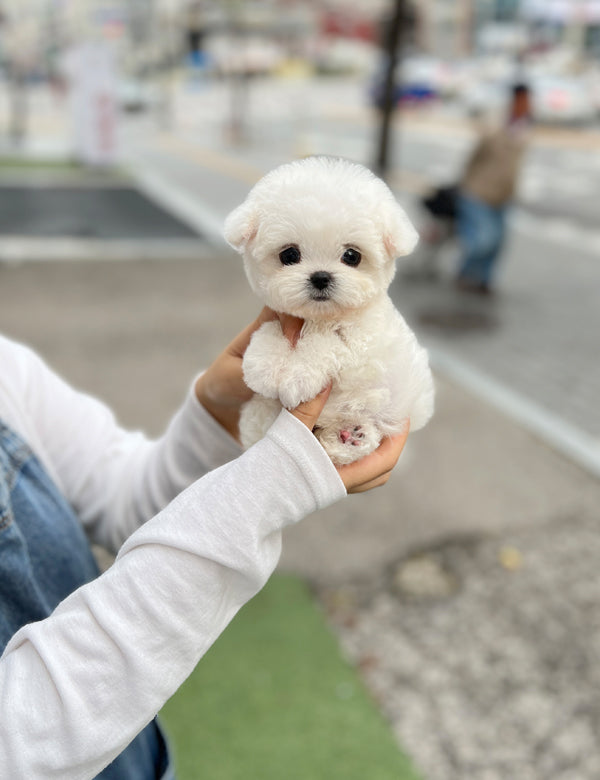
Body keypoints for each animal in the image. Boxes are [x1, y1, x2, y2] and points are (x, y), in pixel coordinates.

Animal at [225, 155, 436, 466]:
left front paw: (298, 376)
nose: (321, 277)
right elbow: (268, 331)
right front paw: (264, 367)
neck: (320, 317)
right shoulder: (279, 316)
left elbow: (329, 343)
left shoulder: (364, 341)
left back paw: (352, 437)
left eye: (352, 256)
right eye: (289, 254)